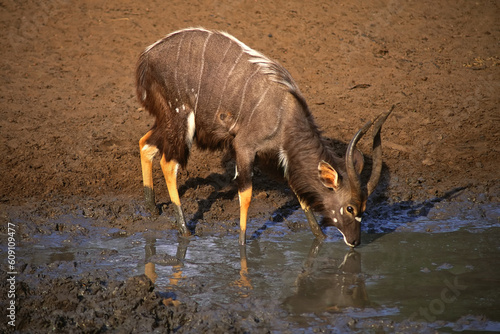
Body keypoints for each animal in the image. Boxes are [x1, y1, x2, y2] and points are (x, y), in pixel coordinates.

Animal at [136, 28, 390, 247]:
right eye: (350, 208)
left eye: (364, 207)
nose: (355, 241)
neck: (285, 113)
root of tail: (148, 56)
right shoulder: (244, 147)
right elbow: (246, 194)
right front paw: (242, 245)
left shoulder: (279, 159)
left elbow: (300, 195)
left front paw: (320, 238)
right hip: (181, 118)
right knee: (169, 162)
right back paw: (184, 230)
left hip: (167, 119)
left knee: (145, 143)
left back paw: (151, 207)